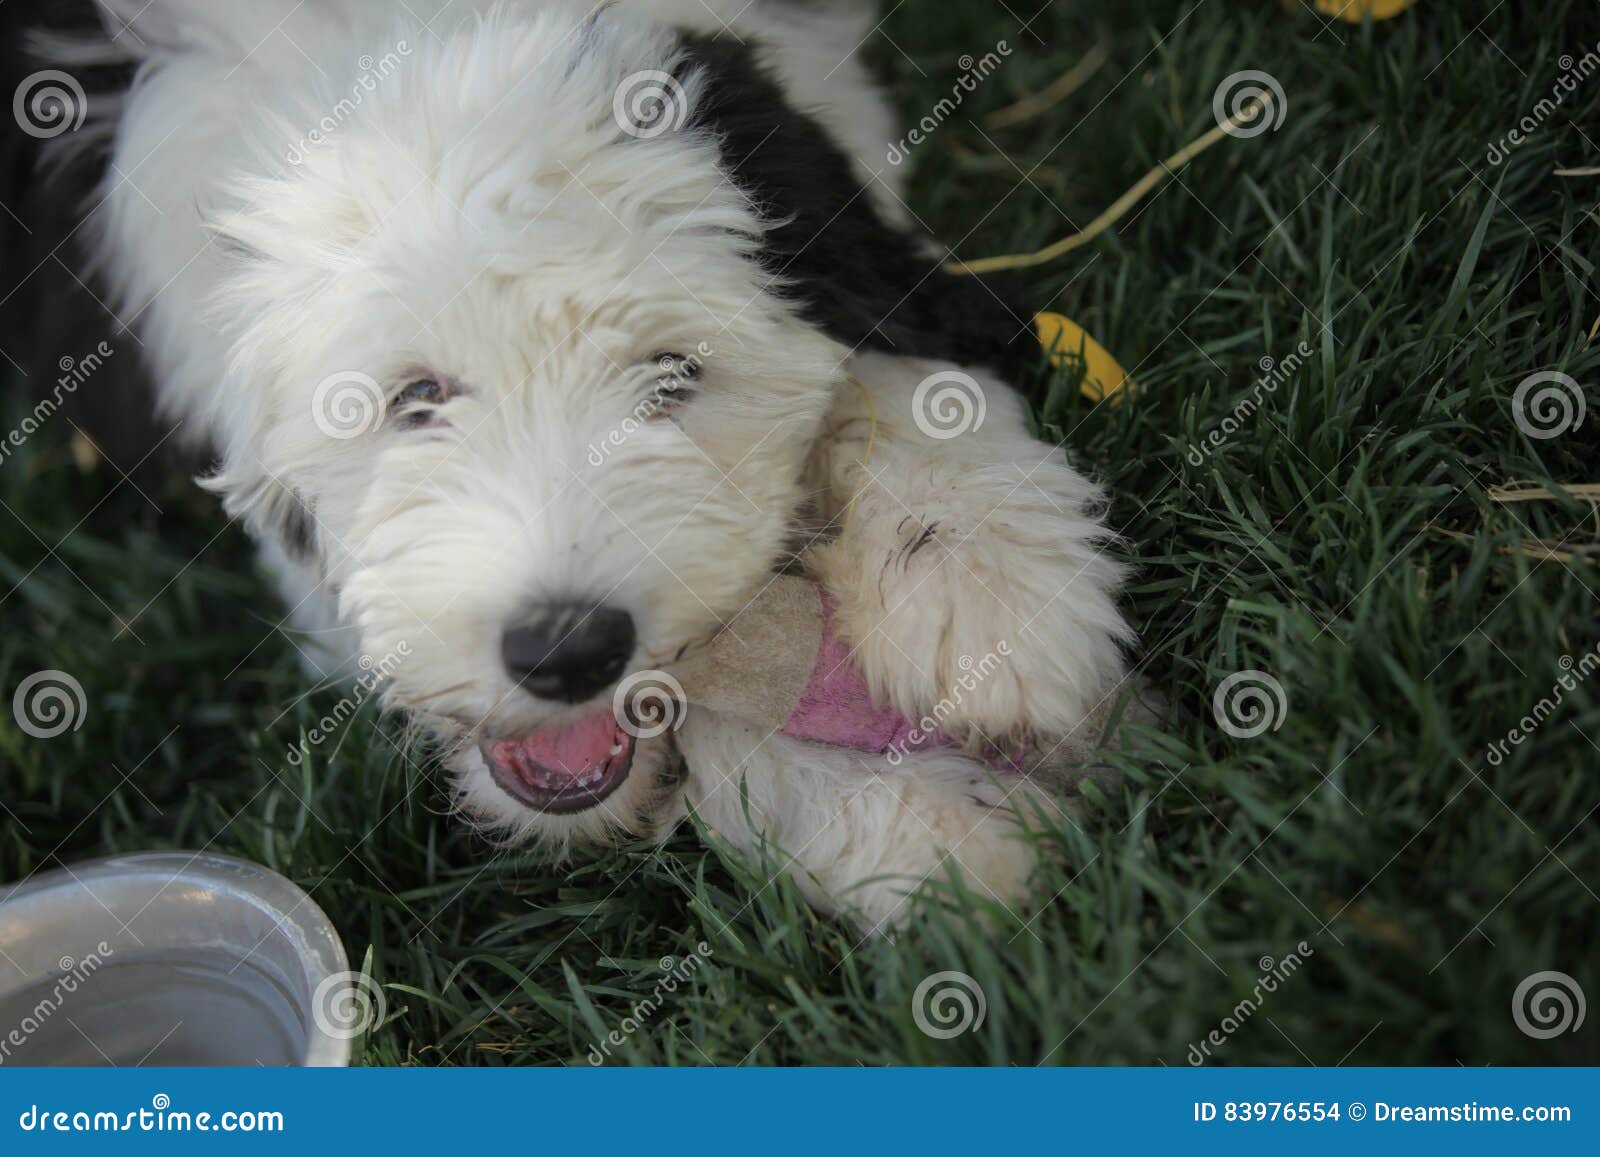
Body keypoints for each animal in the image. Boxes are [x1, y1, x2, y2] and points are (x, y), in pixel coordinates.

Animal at [25, 0, 1126, 934]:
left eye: (672, 375)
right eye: (416, 397)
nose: (566, 650)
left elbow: (891, 347)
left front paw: (984, 584)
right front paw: (932, 826)